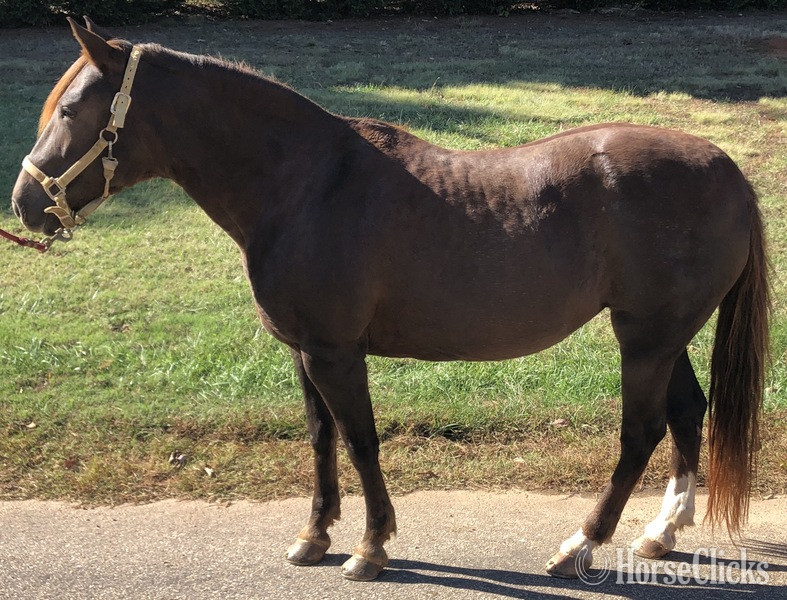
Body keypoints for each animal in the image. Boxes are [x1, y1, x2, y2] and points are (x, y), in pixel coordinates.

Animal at [10, 18, 769, 582]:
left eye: (73, 110)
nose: (23, 204)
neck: (305, 183)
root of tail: (726, 167)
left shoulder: (336, 354)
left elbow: (360, 440)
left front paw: (371, 548)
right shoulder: (305, 352)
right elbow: (320, 439)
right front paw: (314, 536)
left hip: (645, 338)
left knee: (640, 433)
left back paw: (579, 546)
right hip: (661, 335)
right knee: (685, 413)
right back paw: (660, 532)